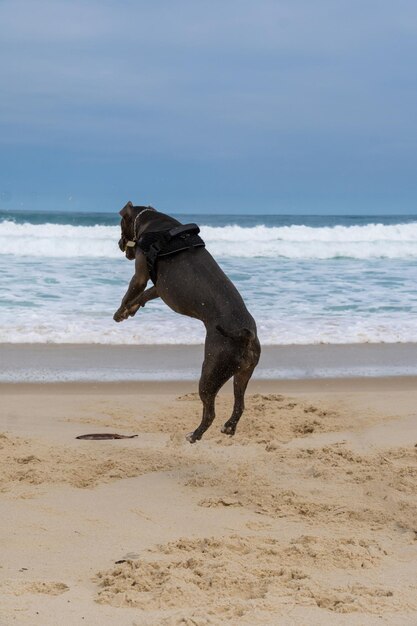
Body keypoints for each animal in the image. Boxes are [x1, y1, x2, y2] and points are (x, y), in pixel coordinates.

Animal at [112, 202, 258, 442]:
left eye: (121, 224)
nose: (119, 243)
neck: (154, 223)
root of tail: (246, 335)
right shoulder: (160, 288)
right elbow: (143, 296)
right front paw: (131, 310)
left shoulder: (141, 276)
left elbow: (131, 294)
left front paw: (121, 312)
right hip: (243, 373)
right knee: (240, 404)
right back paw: (229, 427)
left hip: (210, 372)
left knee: (210, 412)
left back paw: (194, 435)